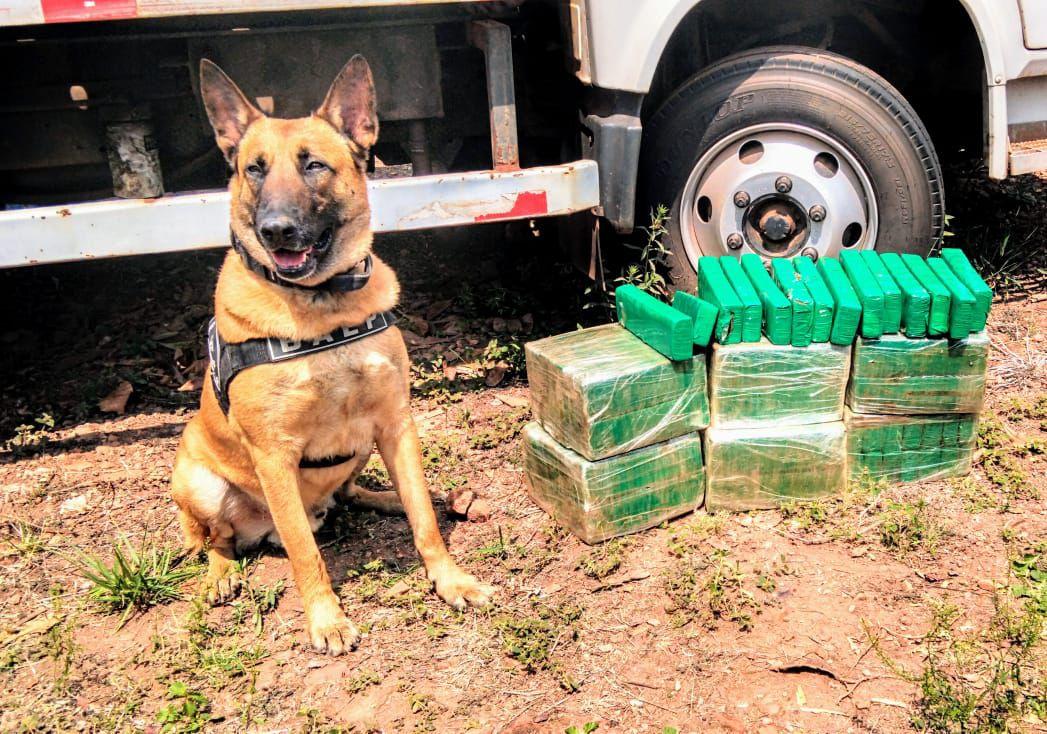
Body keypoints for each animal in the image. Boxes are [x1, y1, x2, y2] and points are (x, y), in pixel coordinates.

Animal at [170, 55, 494, 653]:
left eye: (314, 166)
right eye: (254, 170)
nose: (275, 229)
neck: (324, 311)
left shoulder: (395, 424)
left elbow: (423, 521)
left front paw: (451, 580)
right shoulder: (274, 455)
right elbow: (305, 553)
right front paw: (325, 619)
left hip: (363, 450)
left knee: (355, 493)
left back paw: (403, 496)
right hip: (199, 483)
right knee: (217, 540)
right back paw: (222, 574)